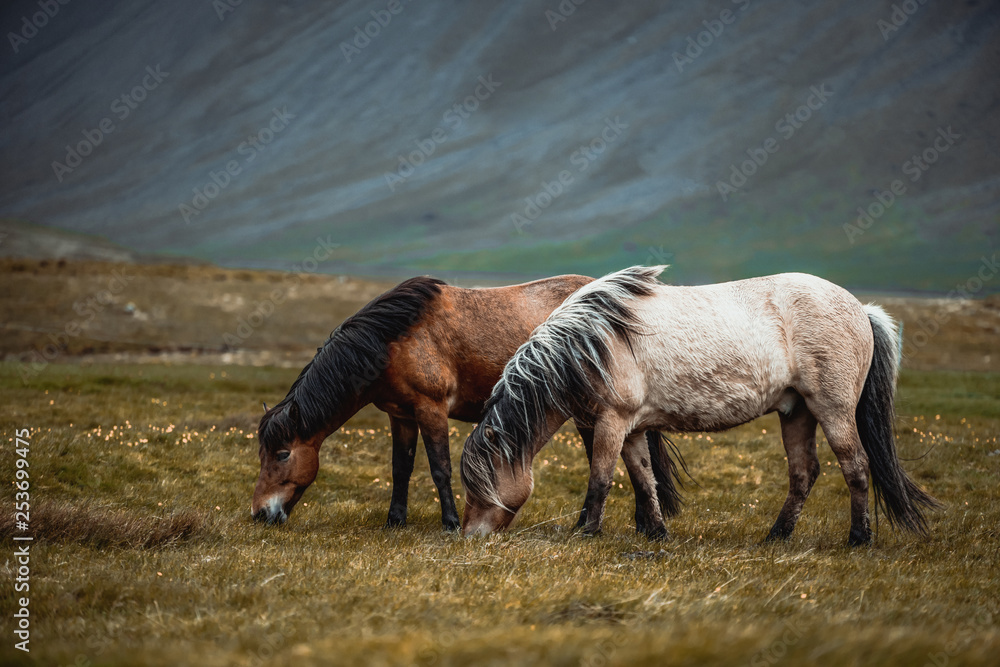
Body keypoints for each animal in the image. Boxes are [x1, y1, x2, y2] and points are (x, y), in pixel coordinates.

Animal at [254, 272, 684, 532]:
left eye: (281, 454)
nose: (260, 513)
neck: (391, 340)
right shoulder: (400, 416)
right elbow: (400, 469)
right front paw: (395, 521)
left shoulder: (431, 409)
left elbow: (439, 468)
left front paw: (447, 522)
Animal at [460, 264, 936, 544]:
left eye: (481, 483)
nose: (468, 535)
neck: (589, 344)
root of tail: (861, 309)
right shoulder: (631, 429)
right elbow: (643, 480)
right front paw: (656, 534)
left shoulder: (611, 424)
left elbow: (600, 479)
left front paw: (585, 532)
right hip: (796, 412)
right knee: (805, 473)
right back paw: (777, 536)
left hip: (832, 411)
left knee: (856, 466)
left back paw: (859, 538)